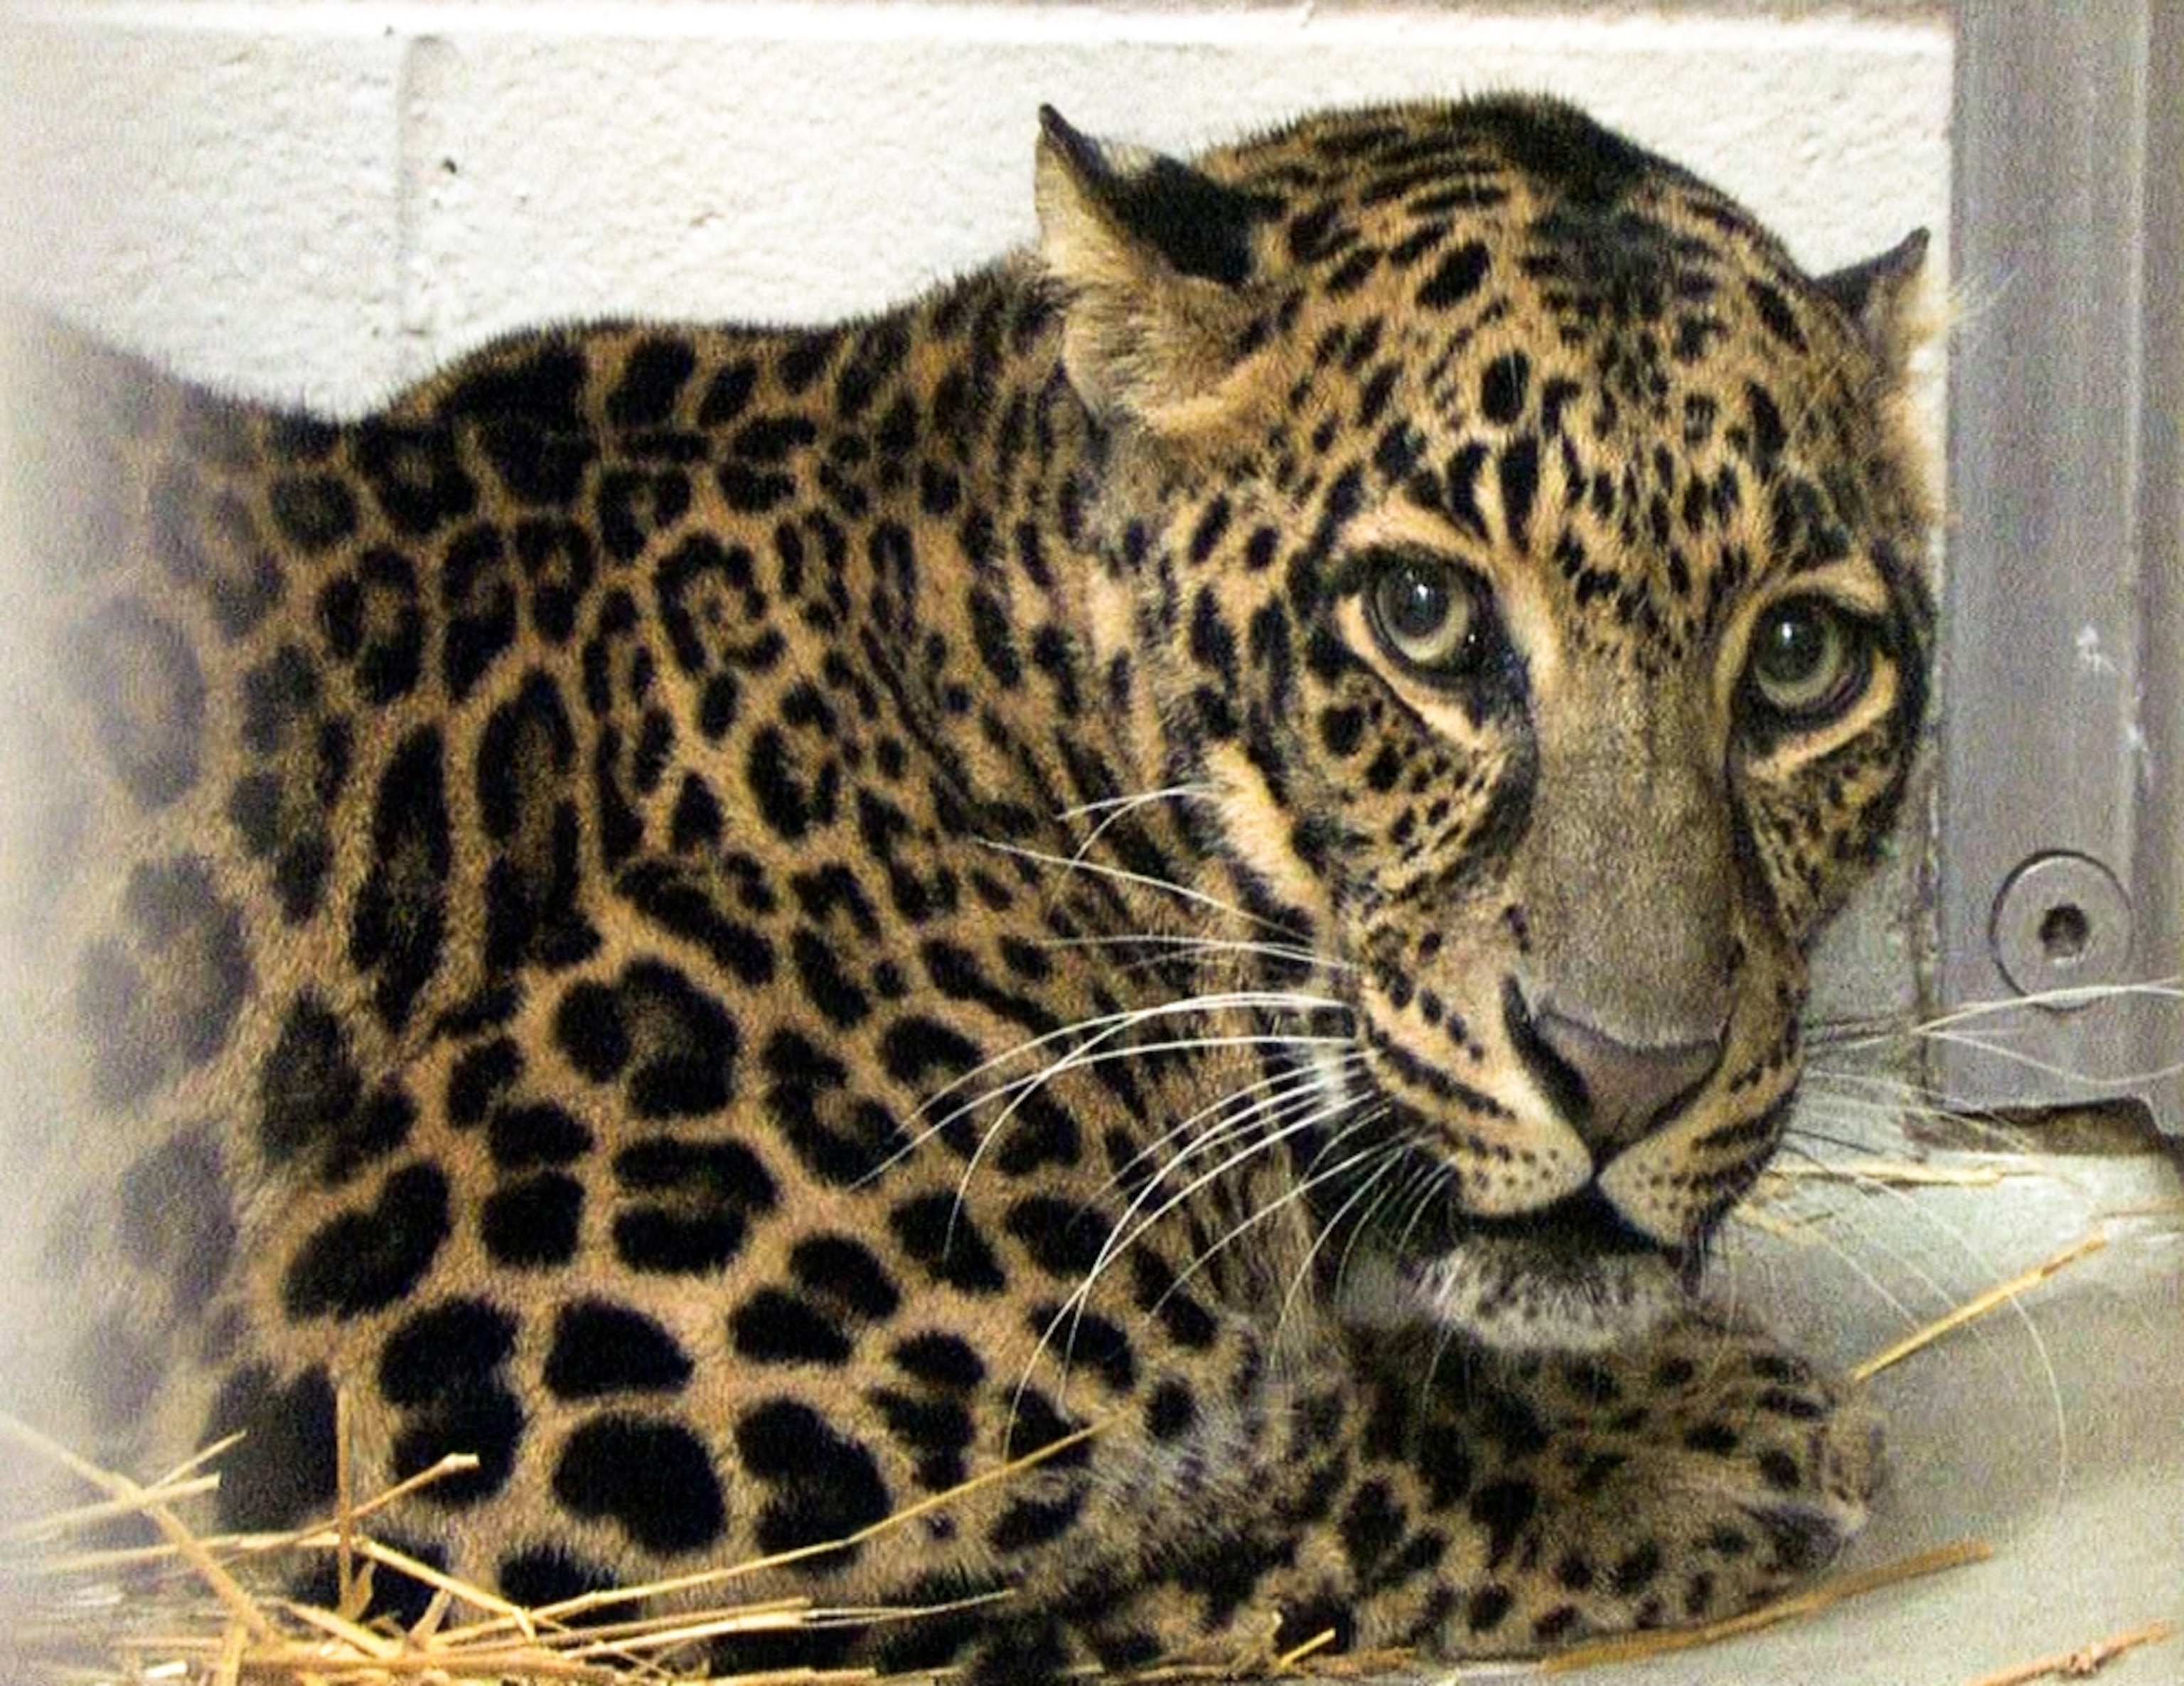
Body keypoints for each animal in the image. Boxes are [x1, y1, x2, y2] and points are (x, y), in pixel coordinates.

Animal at [0, 94, 1934, 1676]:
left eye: (1799, 661)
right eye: (1421, 617)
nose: (1629, 1073)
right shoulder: (438, 1407)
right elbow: (1308, 1446)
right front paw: (1693, 1438)